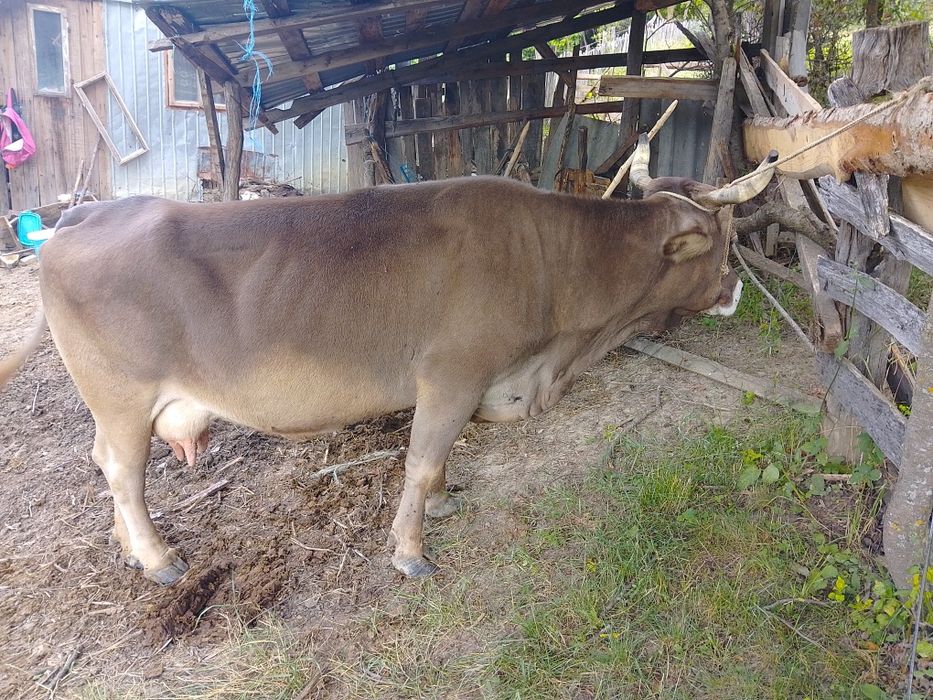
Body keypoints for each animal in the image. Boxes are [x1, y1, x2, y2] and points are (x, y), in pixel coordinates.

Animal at [0, 136, 777, 584]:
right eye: (721, 233)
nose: (736, 287)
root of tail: (84, 214)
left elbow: (441, 461)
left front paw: (440, 503)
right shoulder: (452, 375)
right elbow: (422, 458)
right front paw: (410, 549)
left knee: (106, 466)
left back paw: (128, 545)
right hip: (123, 396)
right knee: (123, 472)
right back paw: (158, 559)